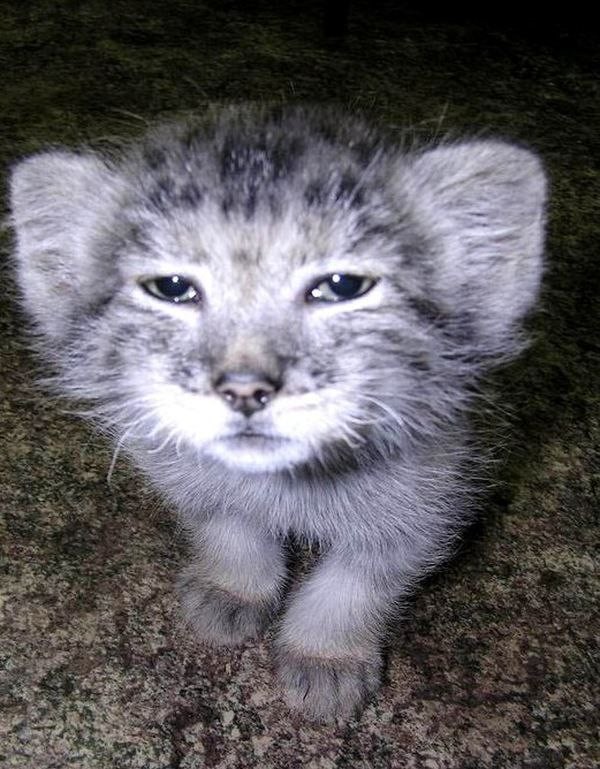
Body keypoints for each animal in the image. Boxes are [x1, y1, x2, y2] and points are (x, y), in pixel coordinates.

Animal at [9, 105, 548, 716]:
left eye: (342, 285)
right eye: (171, 287)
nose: (245, 389)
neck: (289, 487)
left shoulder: (432, 496)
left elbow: (359, 581)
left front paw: (326, 654)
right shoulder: (184, 473)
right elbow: (229, 526)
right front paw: (233, 587)